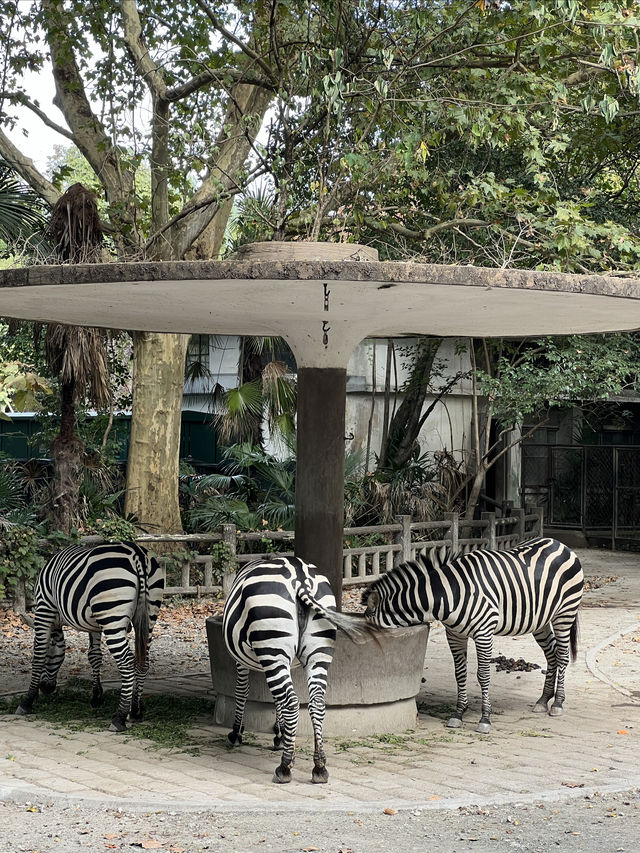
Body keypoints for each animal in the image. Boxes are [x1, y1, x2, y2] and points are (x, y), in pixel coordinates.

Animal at [17, 540, 164, 732]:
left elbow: (38, 656)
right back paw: (136, 712)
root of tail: (137, 553)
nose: (46, 688)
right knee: (143, 662)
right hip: (149, 616)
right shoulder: (94, 624)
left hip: (112, 616)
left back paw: (119, 717)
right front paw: (96, 697)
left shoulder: (44, 609)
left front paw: (27, 701)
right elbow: (94, 656)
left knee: (126, 662)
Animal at [224, 556, 376, 784]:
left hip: (273, 647)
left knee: (291, 702)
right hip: (318, 651)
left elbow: (242, 692)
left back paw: (284, 767)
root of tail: (301, 578)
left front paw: (236, 733)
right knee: (316, 703)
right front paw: (281, 735)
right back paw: (319, 766)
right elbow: (275, 699)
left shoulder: (241, 660)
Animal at [362, 540, 584, 732]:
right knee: (552, 654)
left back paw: (557, 703)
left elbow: (483, 675)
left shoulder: (484, 632)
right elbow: (460, 673)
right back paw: (543, 700)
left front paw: (485, 718)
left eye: (373, 631)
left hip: (564, 613)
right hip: (540, 621)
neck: (448, 593)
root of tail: (560, 544)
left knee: (562, 656)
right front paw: (459, 713)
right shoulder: (454, 634)